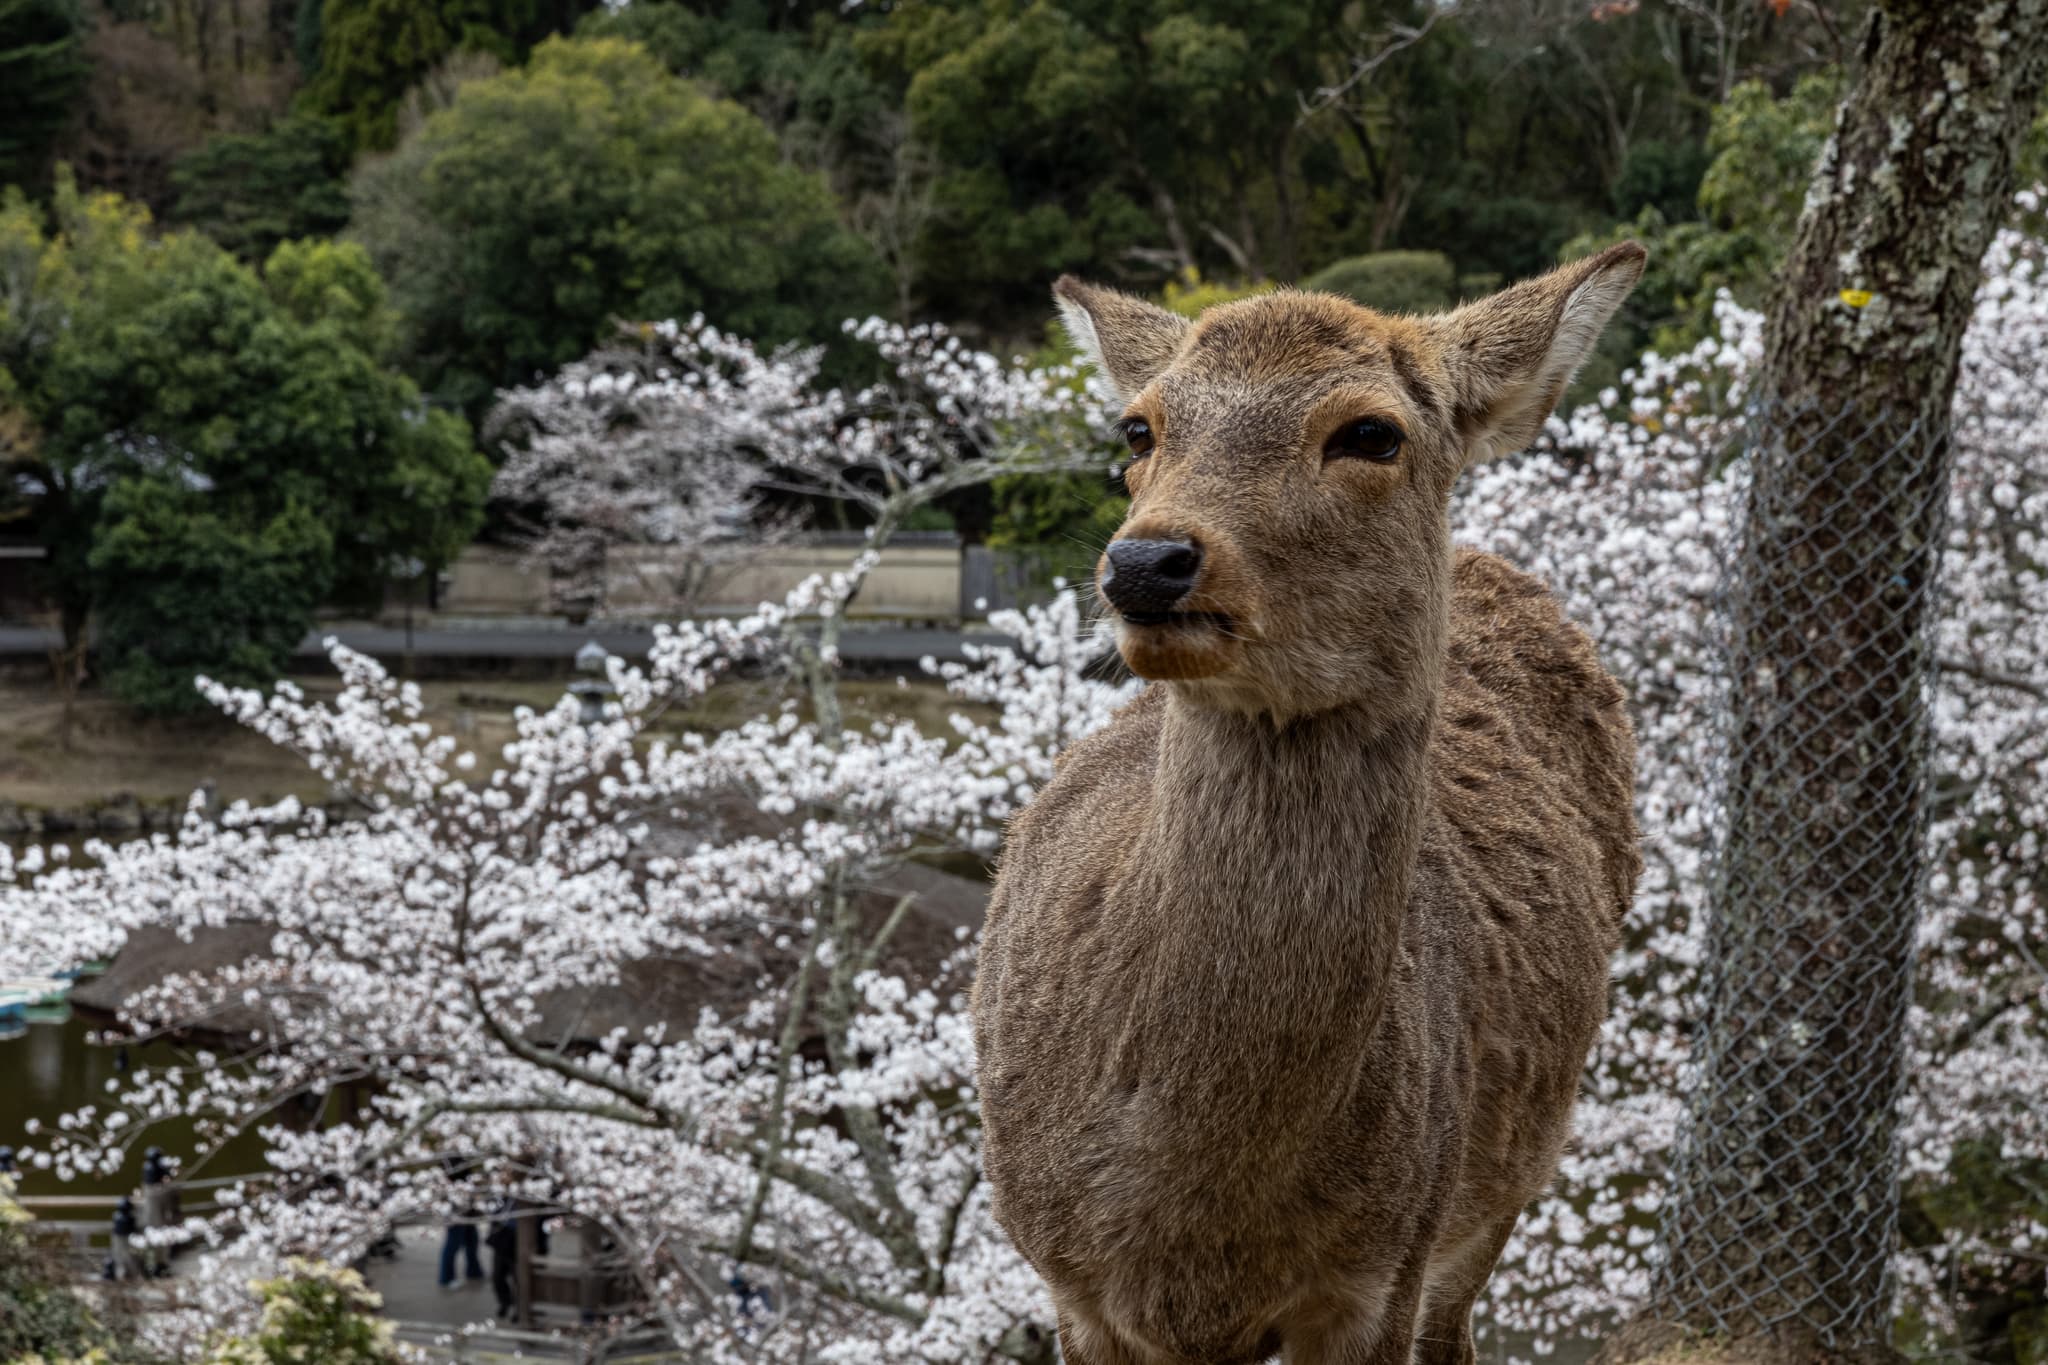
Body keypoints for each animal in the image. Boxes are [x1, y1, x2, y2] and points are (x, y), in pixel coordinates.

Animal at [973, 244, 1648, 1365]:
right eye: (1138, 428)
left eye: (1370, 432)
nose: (1145, 561)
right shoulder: (1067, 1279)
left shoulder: (1383, 1263)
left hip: (1506, 1181)